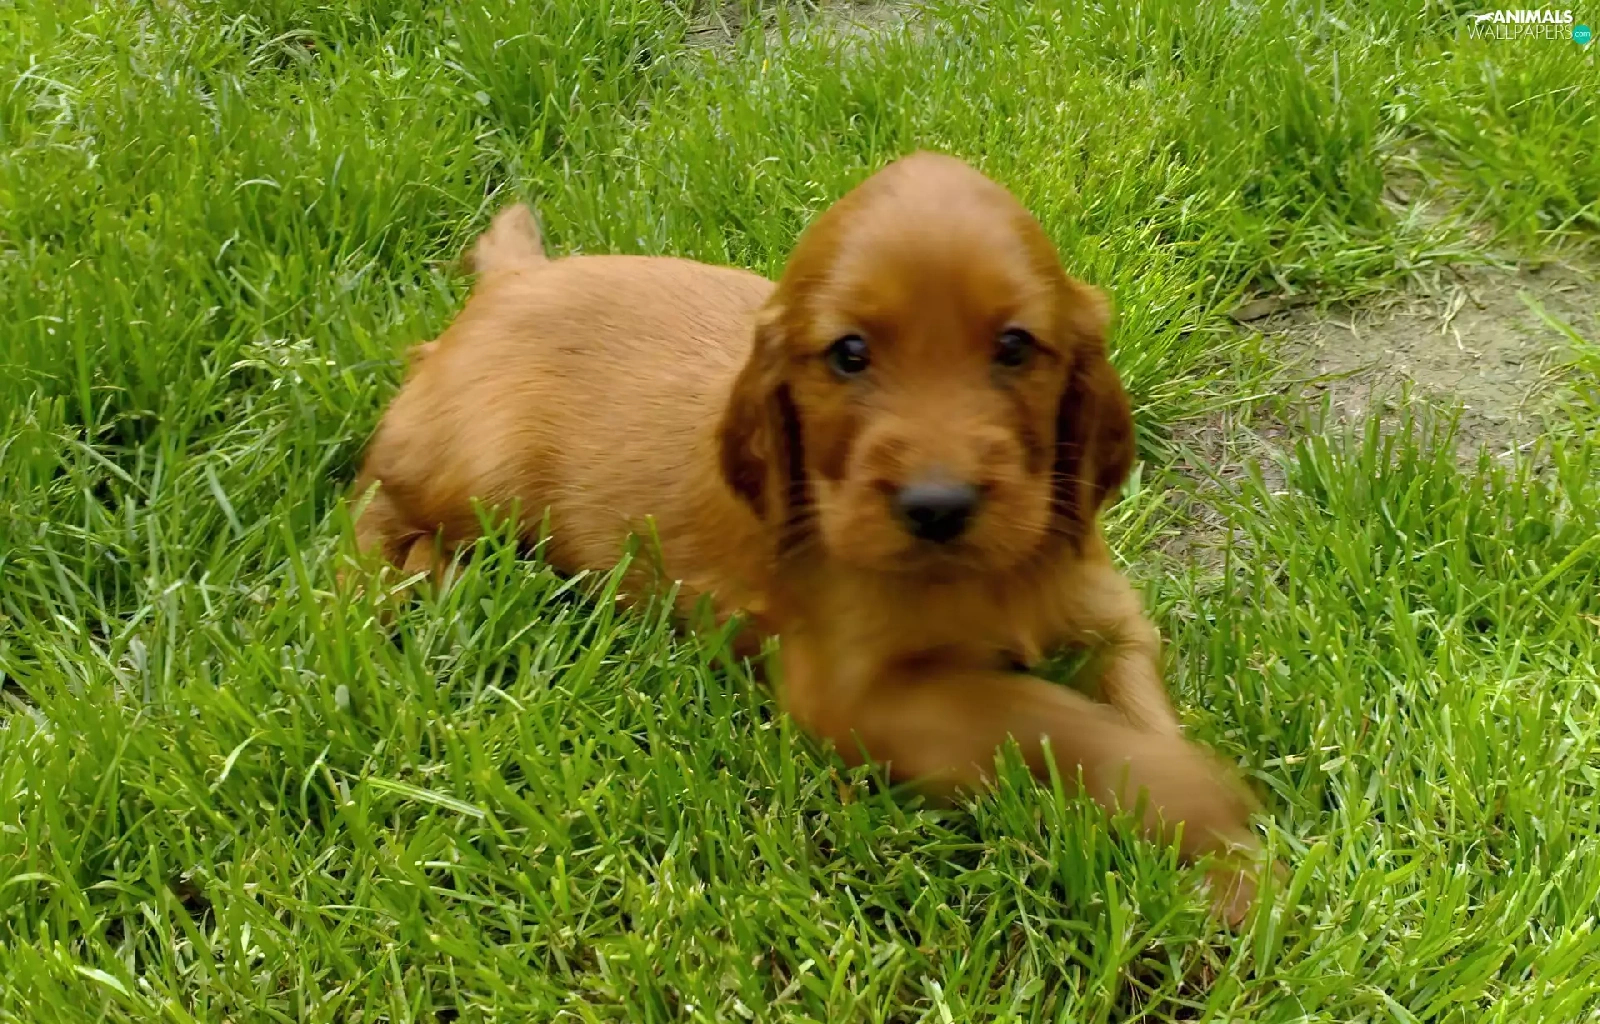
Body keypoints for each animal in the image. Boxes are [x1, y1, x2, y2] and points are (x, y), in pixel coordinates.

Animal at [348, 152, 1271, 922]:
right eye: (849, 354)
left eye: (1014, 346)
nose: (938, 505)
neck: (982, 578)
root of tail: (513, 281)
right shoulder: (846, 692)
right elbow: (1039, 717)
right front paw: (1198, 798)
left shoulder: (1108, 612)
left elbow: (1137, 708)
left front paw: (1232, 872)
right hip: (480, 476)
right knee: (370, 497)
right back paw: (398, 588)